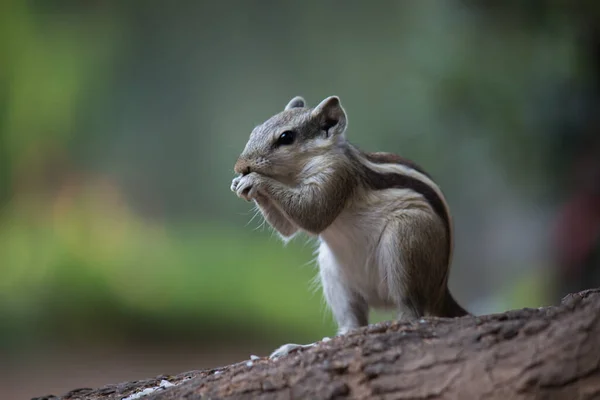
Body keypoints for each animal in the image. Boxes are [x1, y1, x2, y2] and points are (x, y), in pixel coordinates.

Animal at [230, 95, 468, 358]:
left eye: (286, 137)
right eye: (254, 132)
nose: (240, 167)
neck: (297, 173)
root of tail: (441, 292)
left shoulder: (337, 175)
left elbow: (313, 214)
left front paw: (255, 180)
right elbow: (288, 229)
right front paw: (239, 183)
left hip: (405, 240)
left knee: (412, 312)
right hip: (333, 273)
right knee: (352, 326)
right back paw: (301, 346)